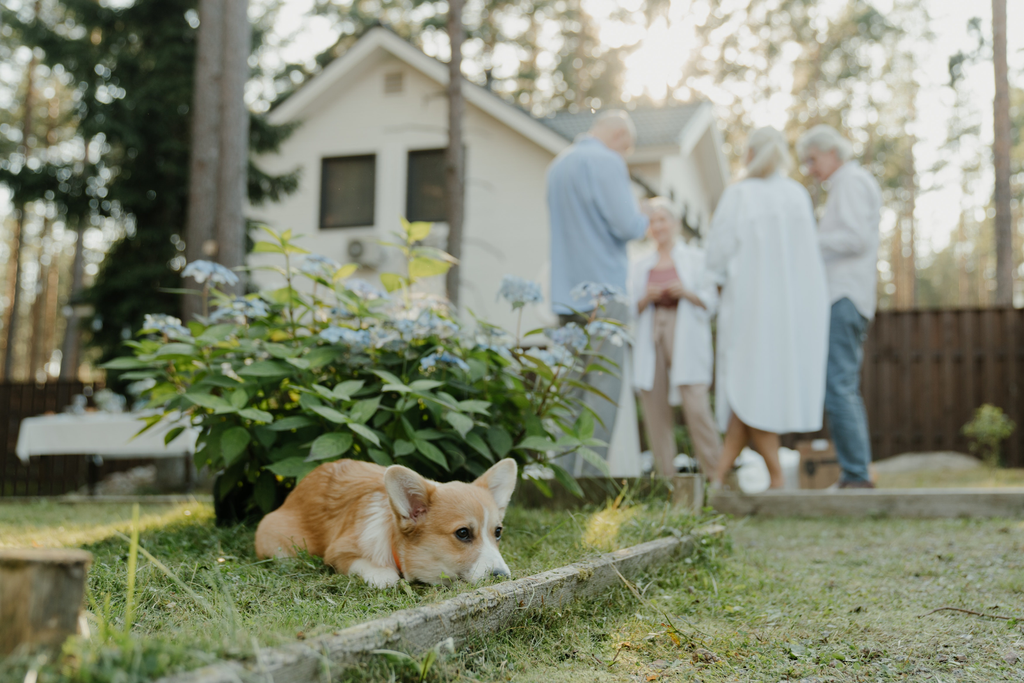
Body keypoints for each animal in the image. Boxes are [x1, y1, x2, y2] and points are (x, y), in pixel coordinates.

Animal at [252, 458, 516, 589]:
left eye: (498, 532)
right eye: (462, 533)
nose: (503, 576)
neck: (393, 541)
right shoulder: (339, 552)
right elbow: (383, 576)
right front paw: (384, 575)